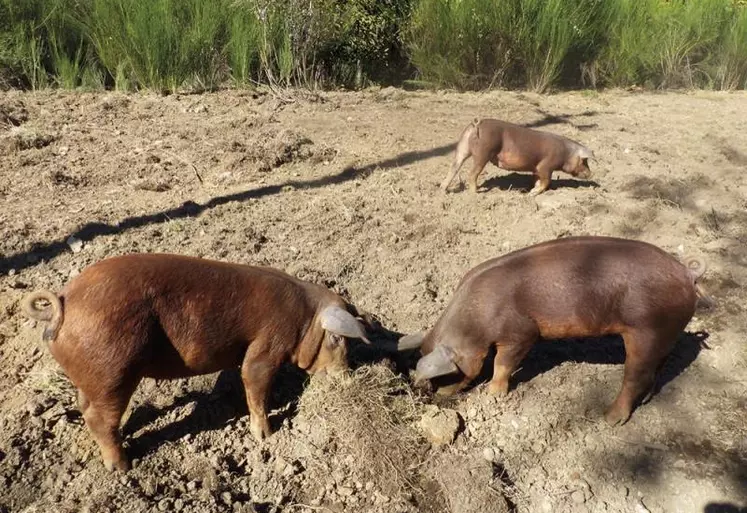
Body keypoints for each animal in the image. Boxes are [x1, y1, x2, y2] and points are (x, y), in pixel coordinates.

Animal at [21, 253, 372, 472]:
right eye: (338, 339)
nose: (348, 376)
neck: (304, 320)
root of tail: (63, 301)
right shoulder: (267, 346)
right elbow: (254, 381)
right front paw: (266, 436)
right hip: (114, 371)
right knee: (99, 418)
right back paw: (122, 466)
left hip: (94, 377)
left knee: (85, 407)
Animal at [398, 236, 712, 424]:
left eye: (448, 374)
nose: (438, 398)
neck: (475, 322)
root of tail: (687, 272)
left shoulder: (521, 333)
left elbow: (502, 363)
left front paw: (493, 394)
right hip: (665, 333)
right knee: (659, 367)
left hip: (646, 330)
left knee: (636, 375)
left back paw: (608, 419)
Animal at [438, 118, 596, 196]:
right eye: (584, 161)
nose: (592, 174)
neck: (565, 153)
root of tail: (477, 124)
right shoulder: (545, 166)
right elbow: (546, 181)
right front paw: (532, 194)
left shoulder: (536, 169)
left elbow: (537, 180)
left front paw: (531, 190)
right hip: (483, 152)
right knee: (472, 174)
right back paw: (476, 194)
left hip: (462, 147)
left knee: (454, 167)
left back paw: (442, 190)